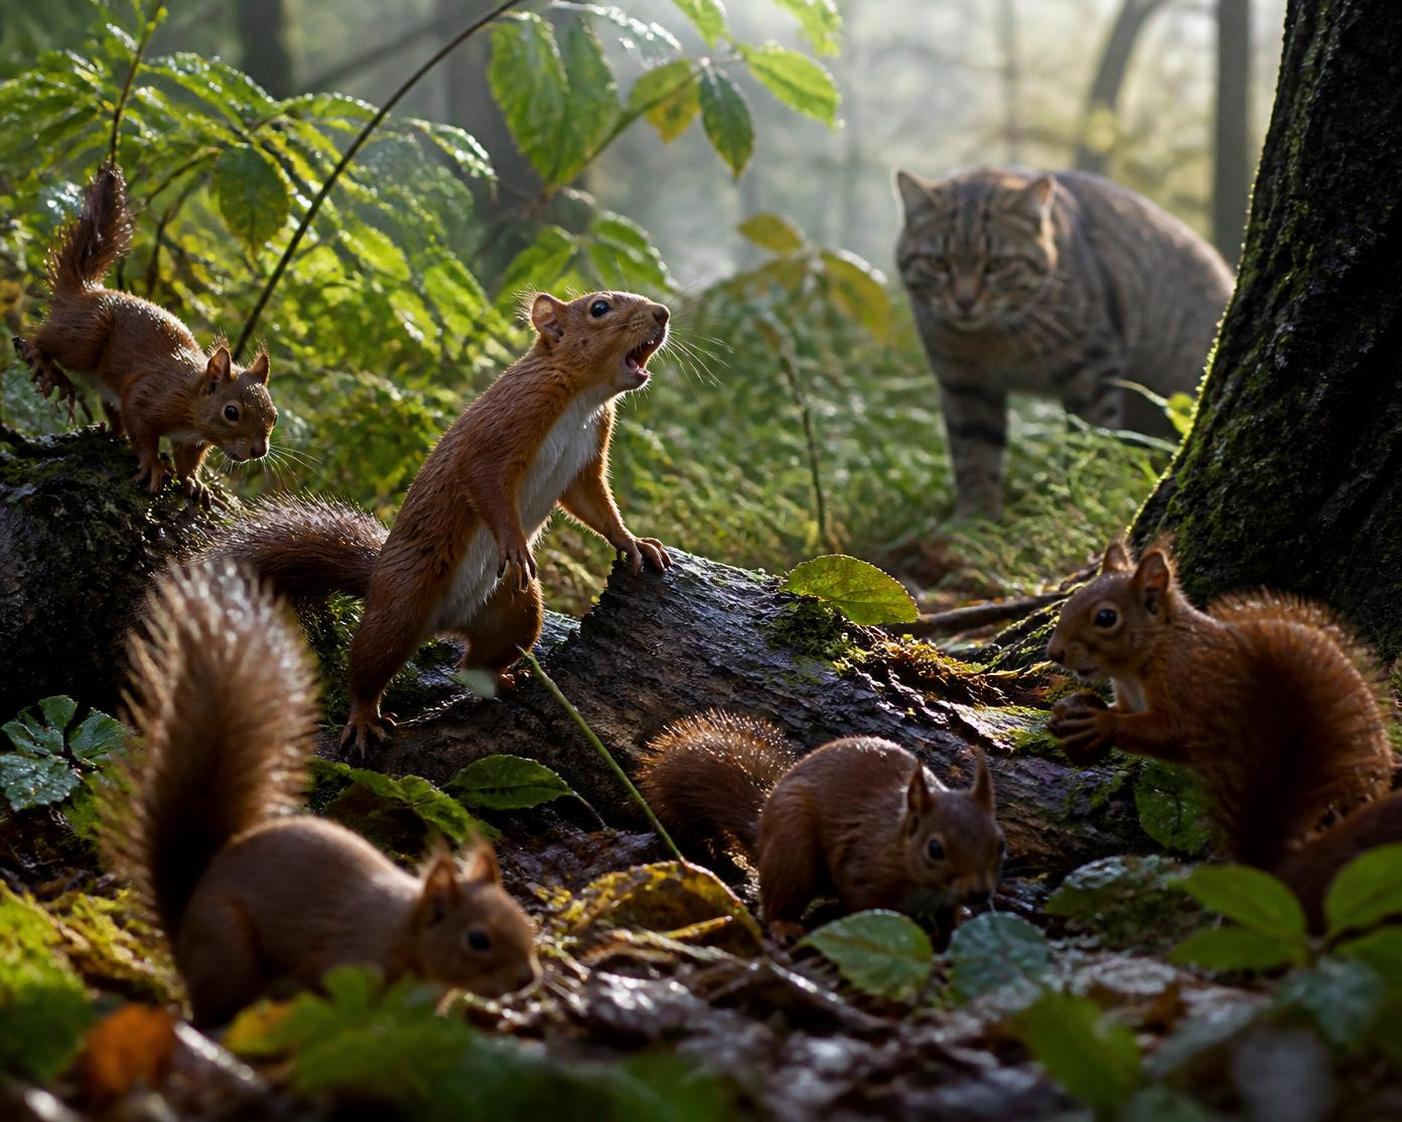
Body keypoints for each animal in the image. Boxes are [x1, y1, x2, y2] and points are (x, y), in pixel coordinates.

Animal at [13, 161, 277, 498]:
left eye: (274, 415)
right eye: (231, 412)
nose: (259, 450)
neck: (190, 397)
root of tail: (86, 291)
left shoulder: (191, 441)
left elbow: (187, 460)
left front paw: (194, 482)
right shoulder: (149, 395)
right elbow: (141, 428)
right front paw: (153, 466)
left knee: (111, 410)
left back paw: (109, 431)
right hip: (85, 336)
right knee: (44, 338)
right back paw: (42, 359)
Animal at [100, 561, 540, 1028]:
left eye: (521, 919)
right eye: (478, 939)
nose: (527, 978)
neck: (403, 934)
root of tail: (182, 923)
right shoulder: (342, 968)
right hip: (228, 949)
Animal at [201, 289, 672, 754]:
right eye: (599, 308)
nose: (662, 313)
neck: (582, 398)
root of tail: (444, 620)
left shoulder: (586, 459)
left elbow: (594, 505)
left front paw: (633, 542)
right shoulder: (505, 425)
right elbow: (485, 482)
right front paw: (514, 543)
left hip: (515, 609)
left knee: (472, 663)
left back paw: (501, 679)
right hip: (403, 602)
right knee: (369, 662)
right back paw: (363, 718)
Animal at [637, 711, 1004, 943]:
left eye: (999, 844)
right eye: (935, 849)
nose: (979, 893)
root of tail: (762, 825)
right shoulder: (864, 872)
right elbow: (866, 908)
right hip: (793, 851)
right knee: (779, 898)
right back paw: (786, 926)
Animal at [1047, 540, 1397, 921]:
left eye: (1106, 618)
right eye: (1069, 601)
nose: (1054, 653)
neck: (1152, 654)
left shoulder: (1194, 696)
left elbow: (1173, 732)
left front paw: (1101, 724)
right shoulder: (1129, 700)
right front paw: (1072, 709)